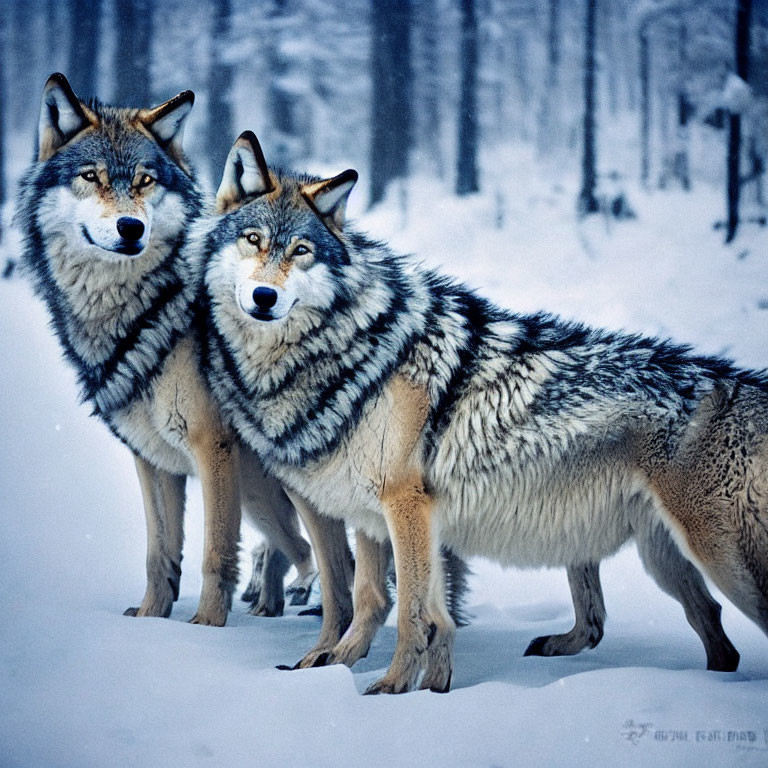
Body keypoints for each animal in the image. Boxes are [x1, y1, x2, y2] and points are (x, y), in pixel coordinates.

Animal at [15, 72, 320, 624]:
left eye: (145, 181)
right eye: (91, 177)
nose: (131, 227)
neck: (148, 308)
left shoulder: (210, 445)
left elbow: (215, 552)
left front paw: (207, 626)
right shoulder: (152, 456)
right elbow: (160, 551)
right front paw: (152, 619)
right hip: (261, 491)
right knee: (297, 547)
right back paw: (274, 603)